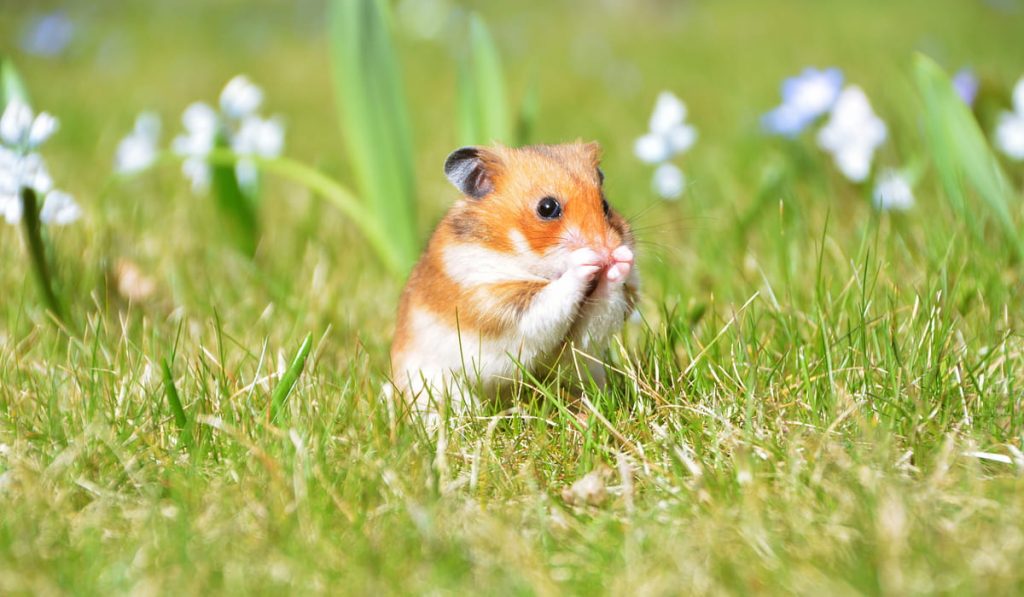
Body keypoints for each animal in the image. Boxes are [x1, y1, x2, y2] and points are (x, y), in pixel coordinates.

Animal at [387, 143, 634, 415]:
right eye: (547, 207)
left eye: (605, 205)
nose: (607, 250)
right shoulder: (498, 305)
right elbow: (554, 296)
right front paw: (586, 260)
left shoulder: (580, 339)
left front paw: (622, 259)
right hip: (433, 383)